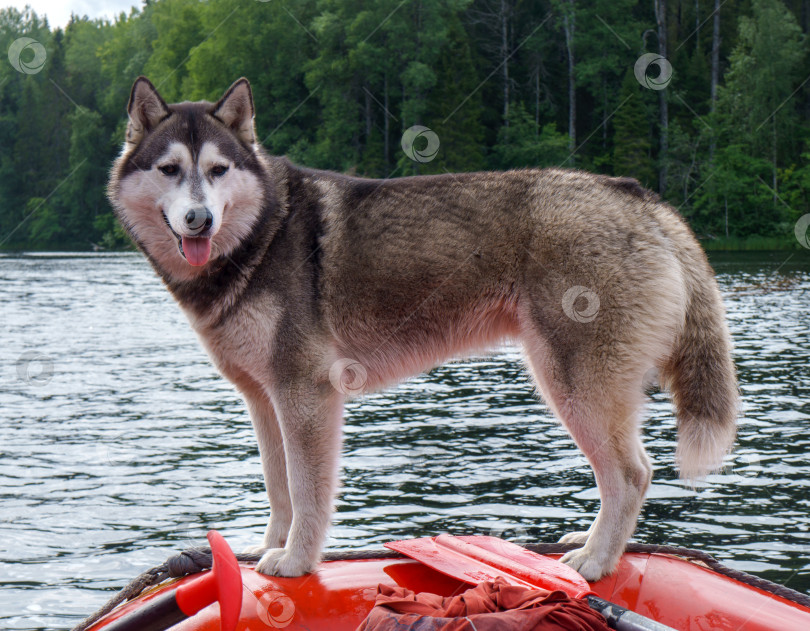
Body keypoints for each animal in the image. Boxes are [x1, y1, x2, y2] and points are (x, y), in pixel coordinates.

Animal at [109, 76, 740, 580]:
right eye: (170, 170)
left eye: (218, 170)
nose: (199, 219)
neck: (260, 236)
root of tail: (638, 197)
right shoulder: (265, 402)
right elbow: (279, 490)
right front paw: (266, 549)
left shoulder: (306, 396)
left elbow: (309, 495)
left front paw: (295, 561)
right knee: (619, 479)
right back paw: (587, 541)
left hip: (574, 387)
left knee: (632, 475)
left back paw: (597, 561)